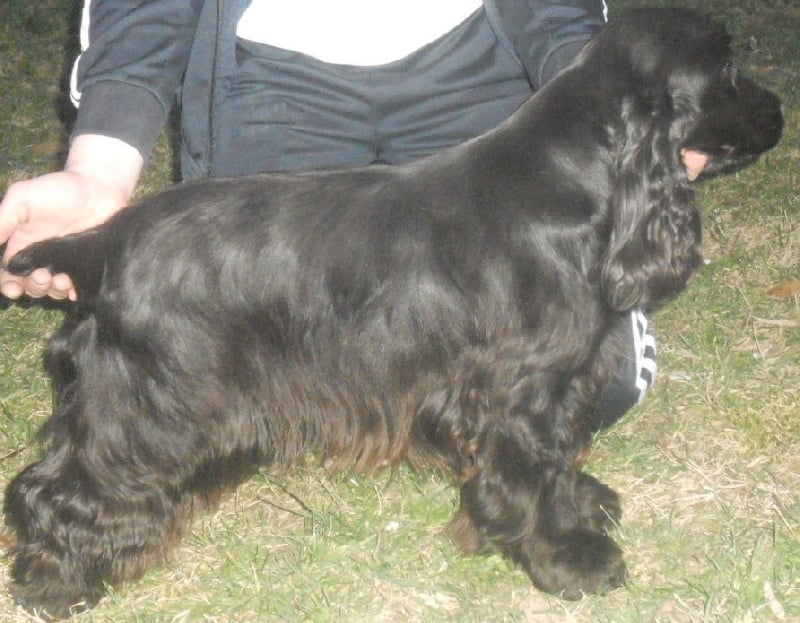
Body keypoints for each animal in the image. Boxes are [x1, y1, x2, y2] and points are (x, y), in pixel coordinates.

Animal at [3, 8, 782, 618]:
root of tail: (107, 238)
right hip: (151, 406)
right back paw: (54, 584)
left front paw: (580, 506)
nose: (778, 112)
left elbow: (561, 461)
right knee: (57, 489)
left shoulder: (559, 385)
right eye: (728, 70)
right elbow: (533, 475)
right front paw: (570, 558)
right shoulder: (521, 391)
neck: (576, 183)